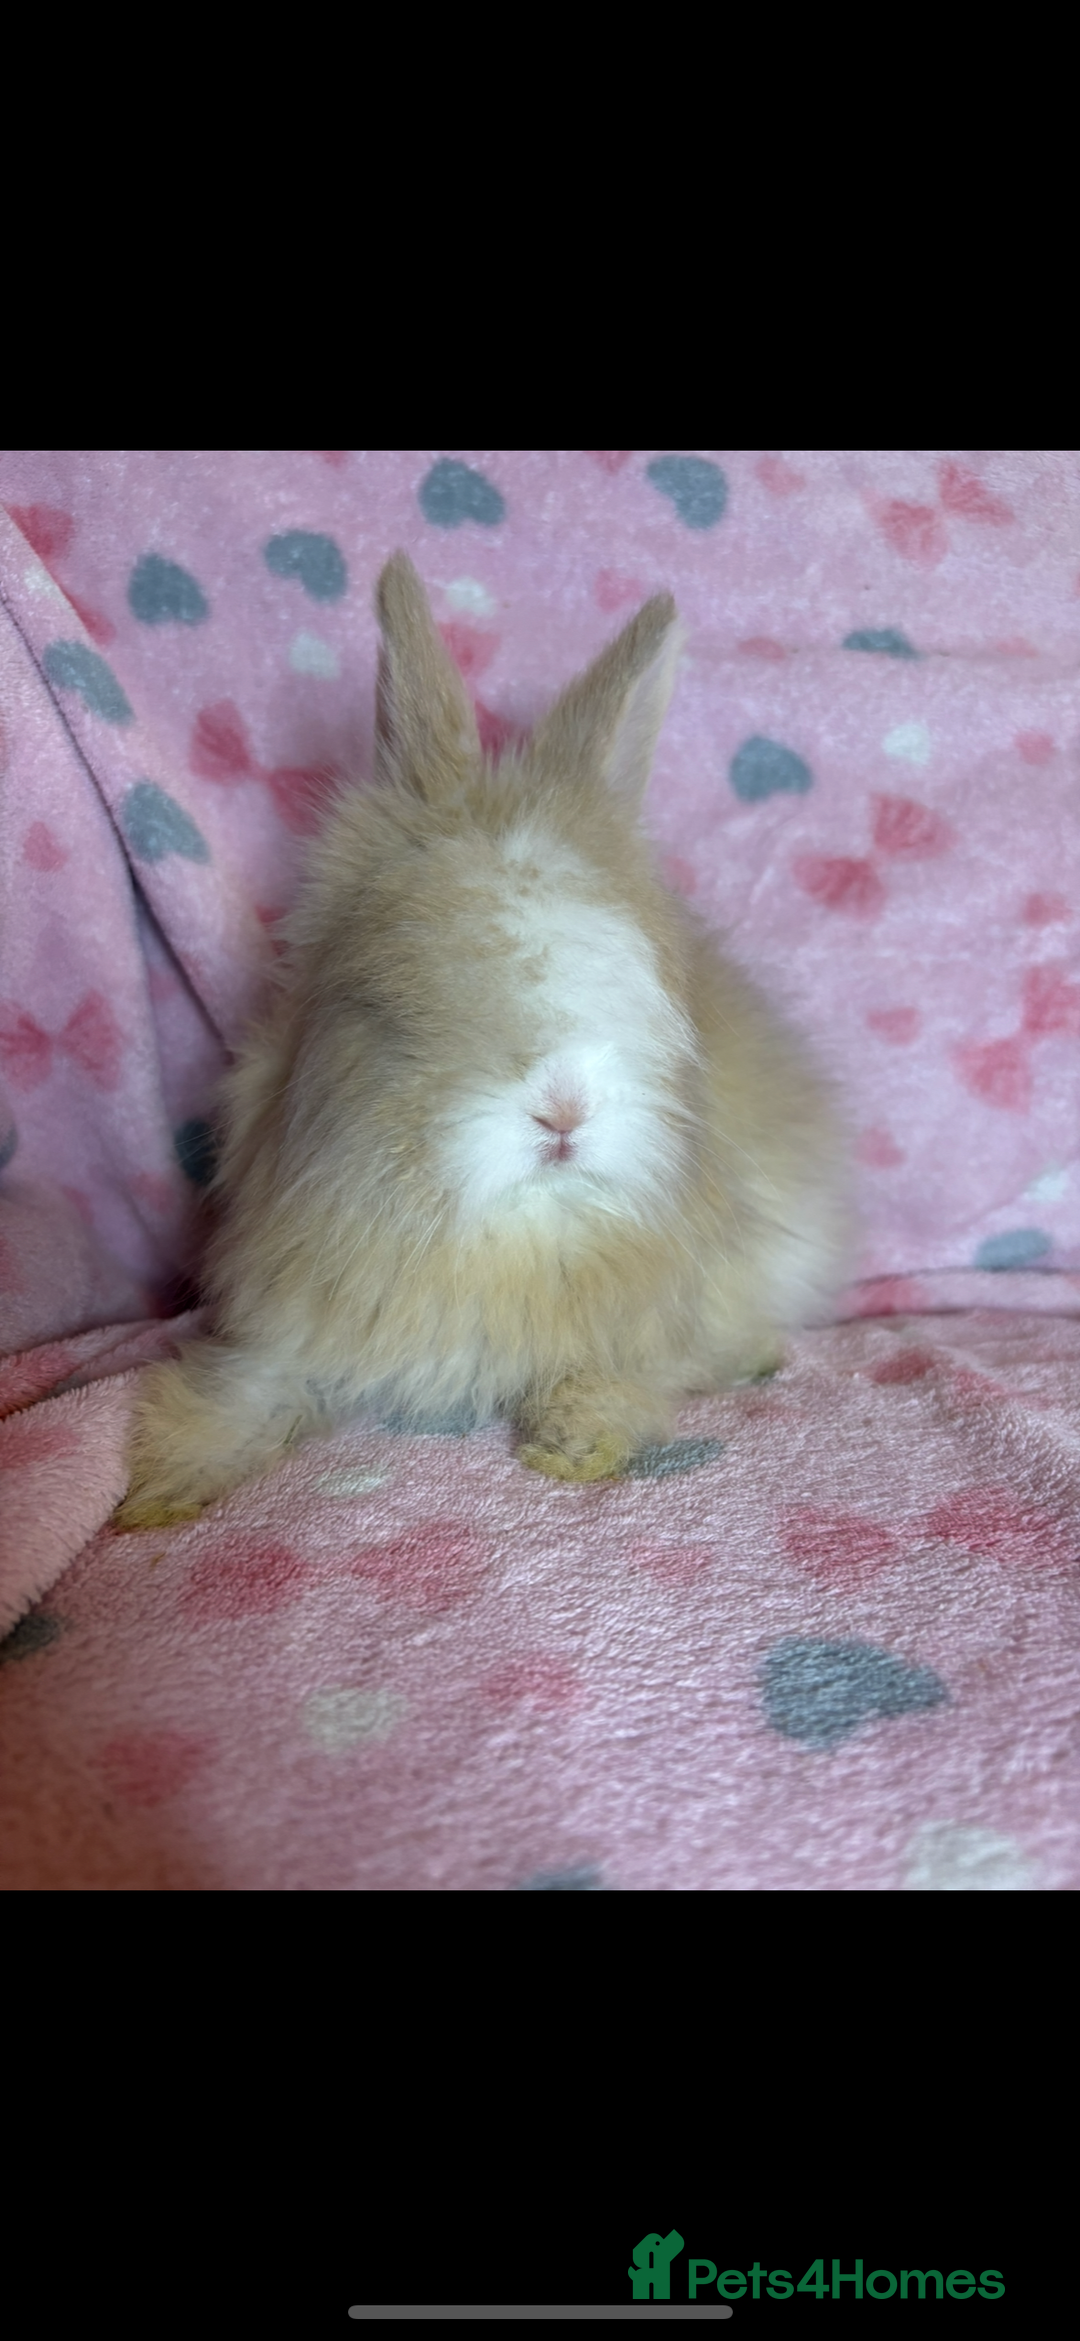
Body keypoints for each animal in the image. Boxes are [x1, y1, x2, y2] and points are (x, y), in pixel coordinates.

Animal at [116, 552, 849, 1528]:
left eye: (650, 991)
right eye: (399, 999)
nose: (564, 1112)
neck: (514, 1241)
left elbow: (629, 1371)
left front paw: (573, 1443)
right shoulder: (285, 1324)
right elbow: (250, 1388)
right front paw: (160, 1490)